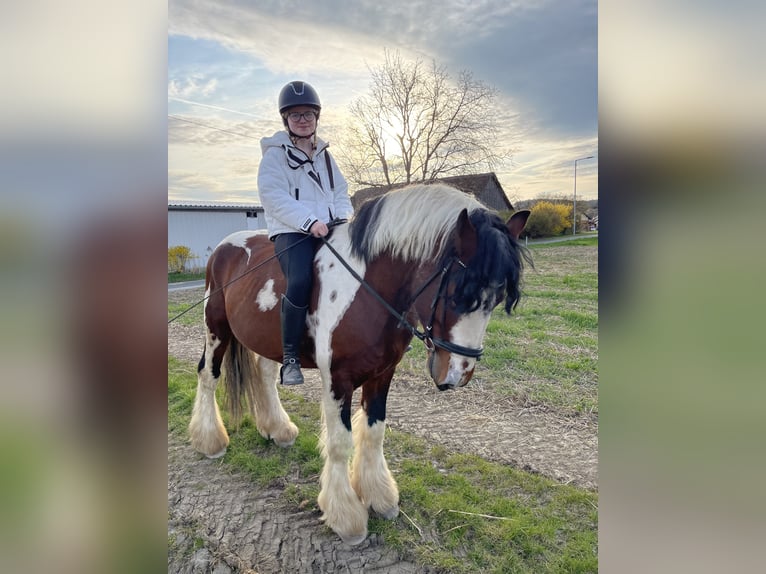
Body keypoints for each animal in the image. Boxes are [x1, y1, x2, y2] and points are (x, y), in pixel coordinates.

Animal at [189, 183, 532, 544]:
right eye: (456, 295)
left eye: (497, 299)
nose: (456, 375)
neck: (367, 288)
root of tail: (223, 248)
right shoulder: (337, 379)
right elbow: (340, 442)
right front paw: (347, 518)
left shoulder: (382, 374)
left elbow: (374, 431)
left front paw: (380, 497)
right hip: (216, 329)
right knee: (208, 376)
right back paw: (210, 441)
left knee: (265, 376)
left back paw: (277, 429)